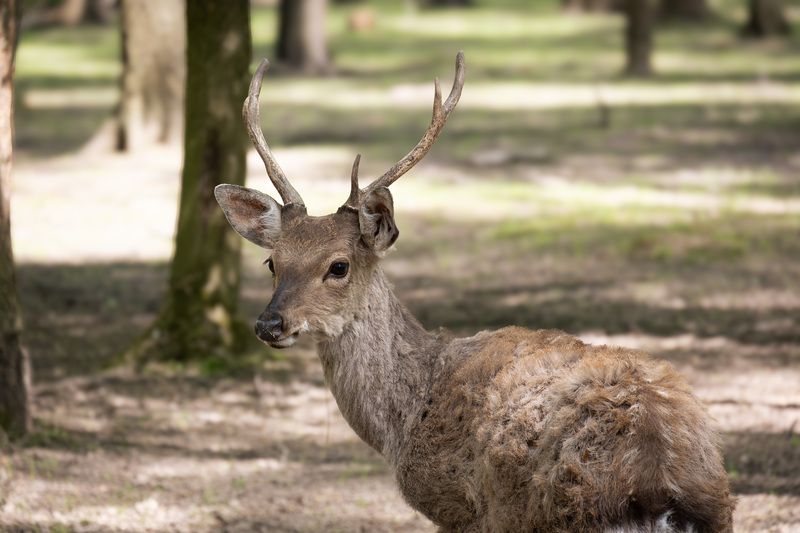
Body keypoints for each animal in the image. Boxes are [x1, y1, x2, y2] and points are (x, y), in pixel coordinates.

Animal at [214, 53, 735, 532]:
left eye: (338, 266)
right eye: (272, 262)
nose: (269, 323)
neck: (405, 418)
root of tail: (657, 484)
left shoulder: (458, 508)